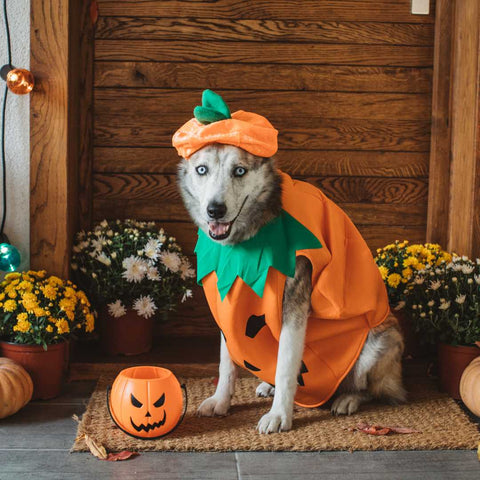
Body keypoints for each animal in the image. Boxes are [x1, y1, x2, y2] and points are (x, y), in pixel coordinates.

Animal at [178, 144, 406, 434]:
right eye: (201, 169)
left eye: (239, 171)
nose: (215, 210)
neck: (251, 236)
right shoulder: (226, 302)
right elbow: (226, 362)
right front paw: (221, 401)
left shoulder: (294, 303)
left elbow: (286, 366)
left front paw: (279, 416)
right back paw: (269, 386)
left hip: (382, 340)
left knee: (371, 389)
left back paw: (348, 399)